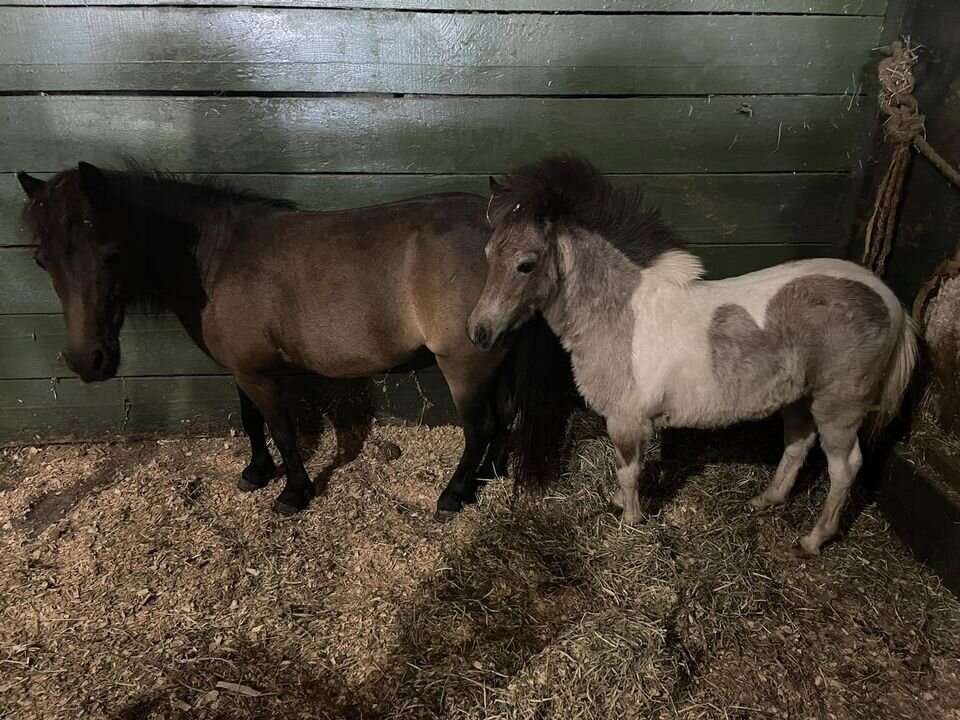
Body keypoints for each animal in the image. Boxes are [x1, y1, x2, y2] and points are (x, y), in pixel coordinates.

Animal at [17, 162, 575, 518]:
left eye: (110, 253)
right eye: (43, 259)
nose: (87, 360)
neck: (217, 258)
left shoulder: (260, 374)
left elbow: (283, 429)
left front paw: (293, 493)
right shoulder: (243, 367)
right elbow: (252, 422)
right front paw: (256, 472)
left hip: (464, 363)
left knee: (480, 426)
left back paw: (454, 495)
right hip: (495, 353)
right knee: (504, 417)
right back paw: (491, 475)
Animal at [467, 153, 918, 555]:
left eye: (526, 264)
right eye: (487, 254)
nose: (479, 332)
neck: (619, 312)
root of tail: (889, 299)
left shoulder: (626, 421)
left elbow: (628, 471)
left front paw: (631, 518)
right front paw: (620, 505)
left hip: (838, 406)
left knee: (845, 467)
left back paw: (814, 539)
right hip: (800, 398)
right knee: (797, 444)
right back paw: (767, 500)